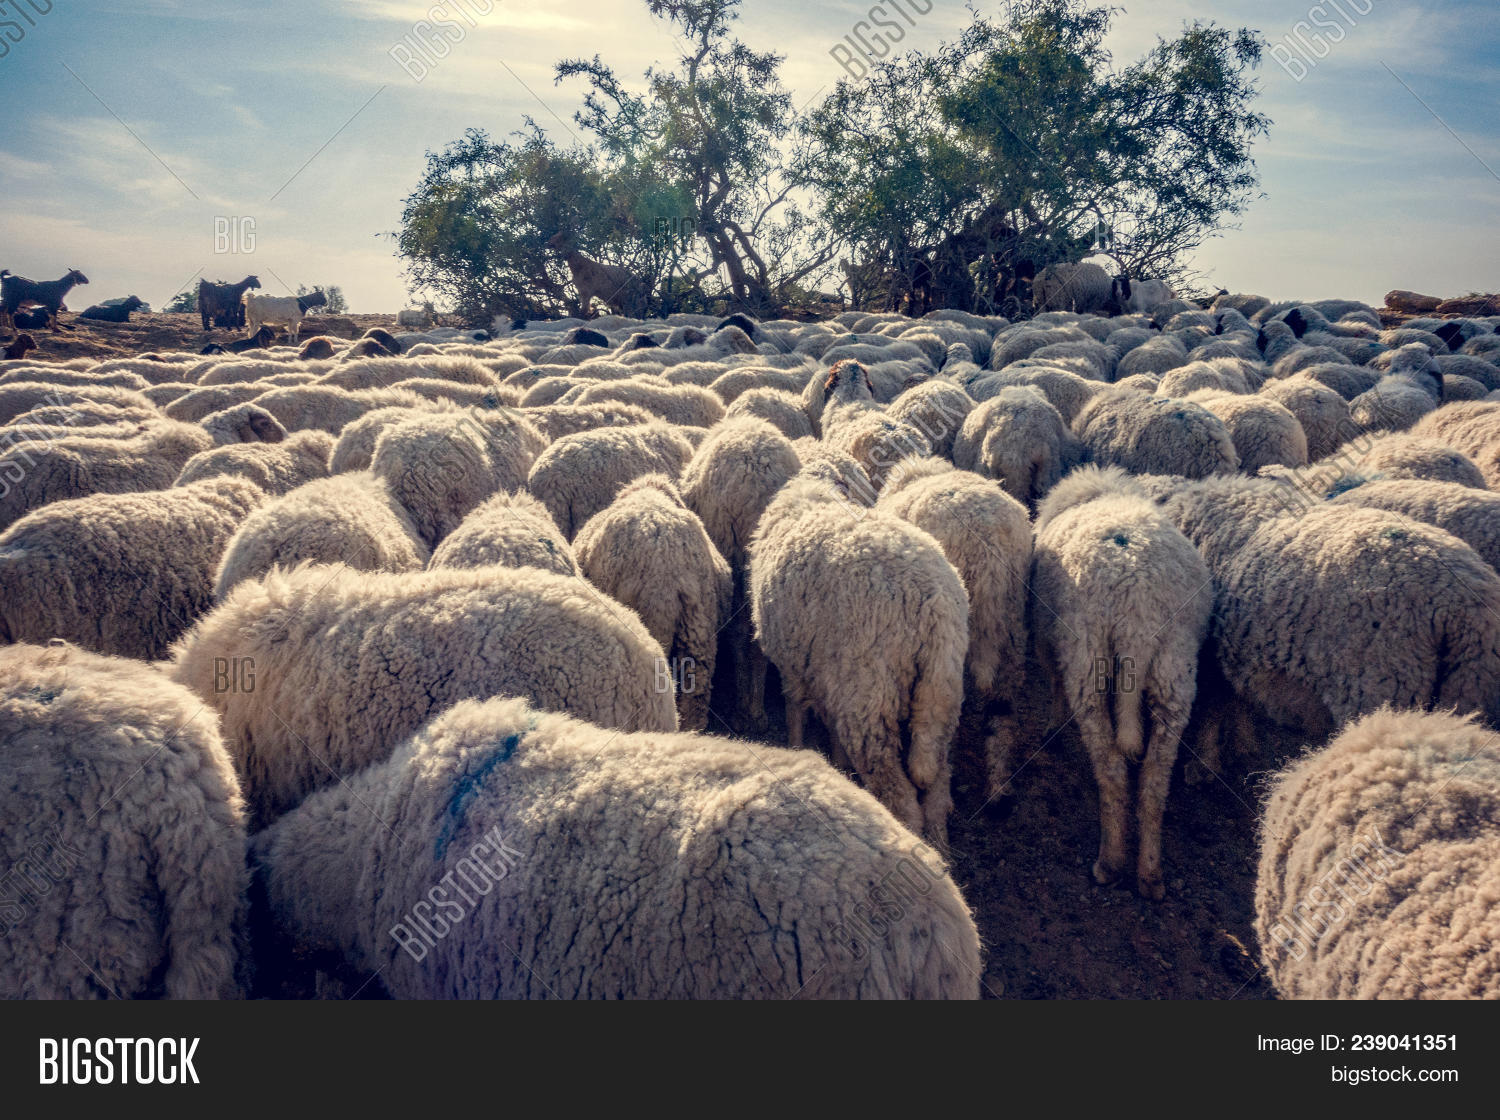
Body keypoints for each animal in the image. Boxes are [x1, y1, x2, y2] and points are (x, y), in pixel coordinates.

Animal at [749, 470, 967, 847]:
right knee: (936, 789)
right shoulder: (827, 673)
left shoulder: (794, 662)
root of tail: (932, 602)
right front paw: (838, 766)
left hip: (870, 698)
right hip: (940, 692)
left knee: (901, 799)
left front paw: (797, 747)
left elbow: (795, 709)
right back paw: (941, 849)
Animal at [1031, 466, 1213, 899]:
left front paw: (1052, 726)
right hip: (1173, 670)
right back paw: (1150, 875)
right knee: (1154, 782)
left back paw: (1109, 863)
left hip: (1088, 659)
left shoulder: (1045, 638)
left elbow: (1053, 684)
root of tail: (1137, 608)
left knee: (1112, 768)